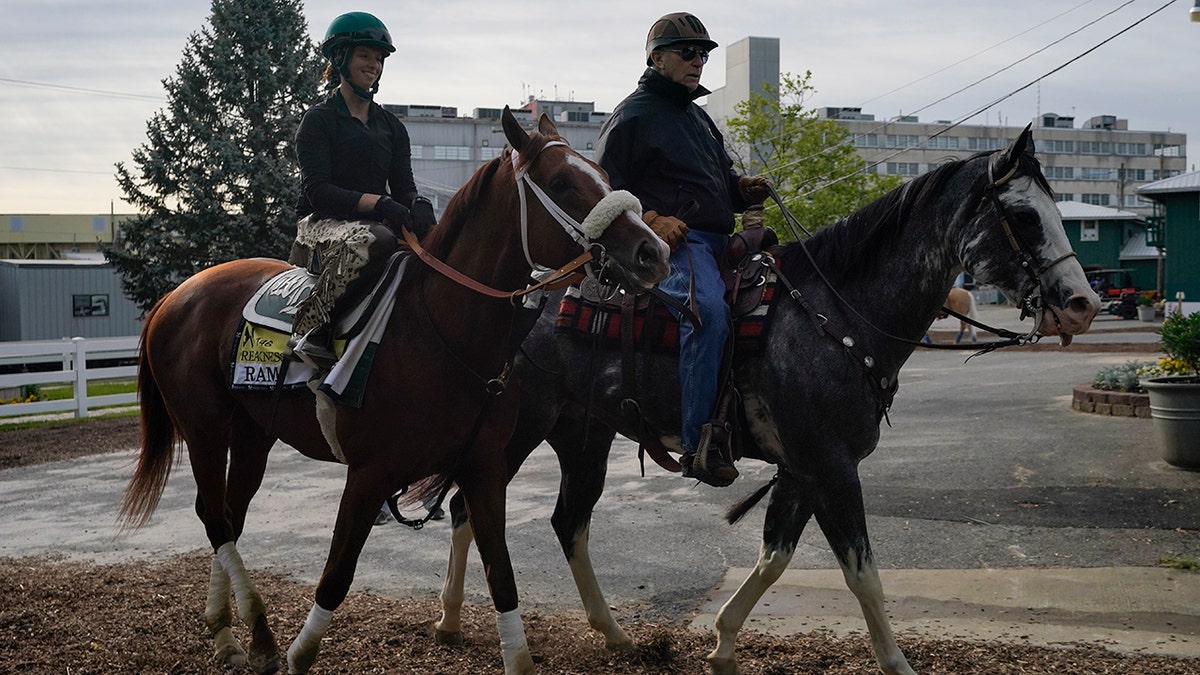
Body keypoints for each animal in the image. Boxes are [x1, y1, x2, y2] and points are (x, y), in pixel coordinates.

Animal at [117, 107, 672, 672]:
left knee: (229, 514)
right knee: (214, 514)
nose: (653, 252)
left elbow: (501, 576)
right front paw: (301, 650)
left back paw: (233, 634)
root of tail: (175, 296)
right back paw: (255, 629)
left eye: (603, 176)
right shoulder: (369, 475)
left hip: (253, 434)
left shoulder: (484, 467)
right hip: (205, 429)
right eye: (561, 182)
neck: (443, 333)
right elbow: (336, 575)